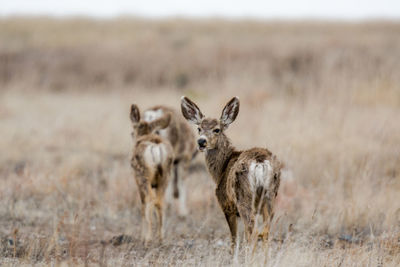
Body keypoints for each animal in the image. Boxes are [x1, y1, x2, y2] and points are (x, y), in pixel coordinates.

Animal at [130, 103, 173, 245]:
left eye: (132, 131)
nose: (132, 135)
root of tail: (156, 146)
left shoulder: (137, 182)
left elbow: (143, 206)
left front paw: (142, 236)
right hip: (165, 176)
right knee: (161, 202)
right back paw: (161, 238)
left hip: (143, 175)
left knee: (149, 200)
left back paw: (147, 239)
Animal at [180, 97, 282, 251]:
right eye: (199, 128)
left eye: (217, 129)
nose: (201, 141)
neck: (221, 169)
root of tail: (260, 162)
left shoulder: (227, 205)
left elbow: (234, 240)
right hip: (270, 195)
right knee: (265, 232)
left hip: (243, 197)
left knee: (252, 232)